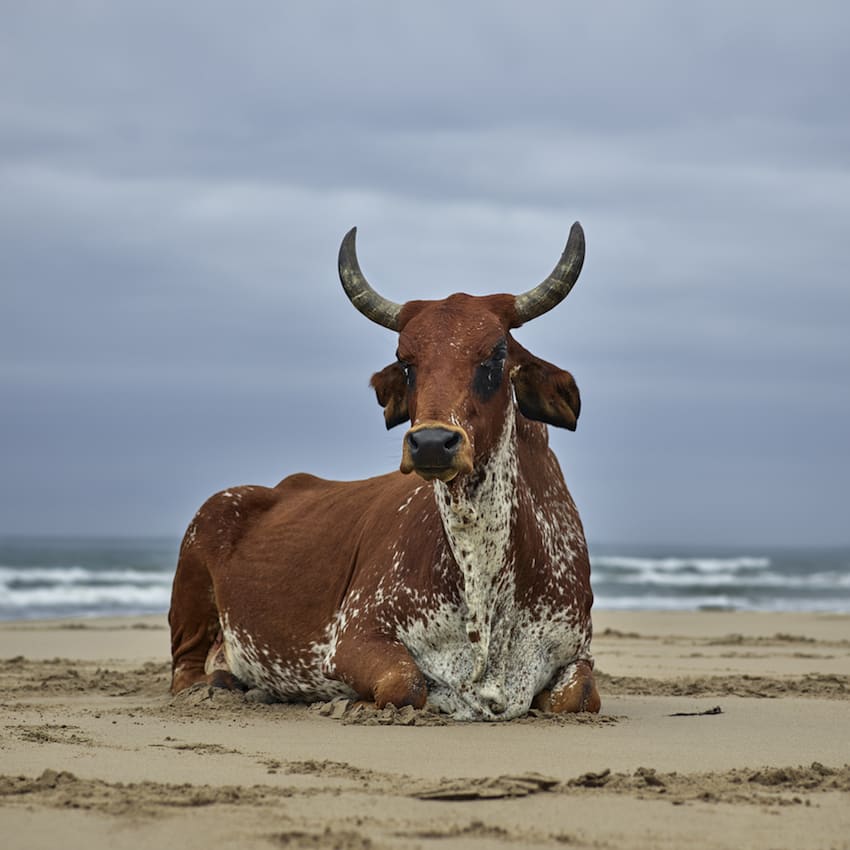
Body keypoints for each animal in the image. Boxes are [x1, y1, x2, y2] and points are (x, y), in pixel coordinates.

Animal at [169, 221, 600, 721]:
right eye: (407, 363)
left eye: (496, 356)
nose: (431, 442)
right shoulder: (353, 638)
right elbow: (406, 682)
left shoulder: (579, 652)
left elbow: (578, 695)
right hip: (194, 572)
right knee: (186, 671)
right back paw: (220, 685)